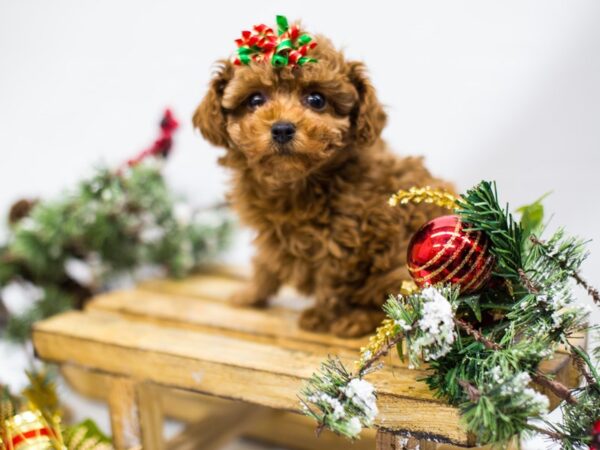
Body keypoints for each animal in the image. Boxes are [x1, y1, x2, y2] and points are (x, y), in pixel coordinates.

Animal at [195, 23, 452, 334]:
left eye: (316, 100)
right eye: (255, 99)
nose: (282, 128)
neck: (297, 182)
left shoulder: (345, 240)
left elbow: (331, 282)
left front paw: (320, 316)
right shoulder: (272, 233)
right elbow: (266, 264)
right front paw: (250, 294)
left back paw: (355, 319)